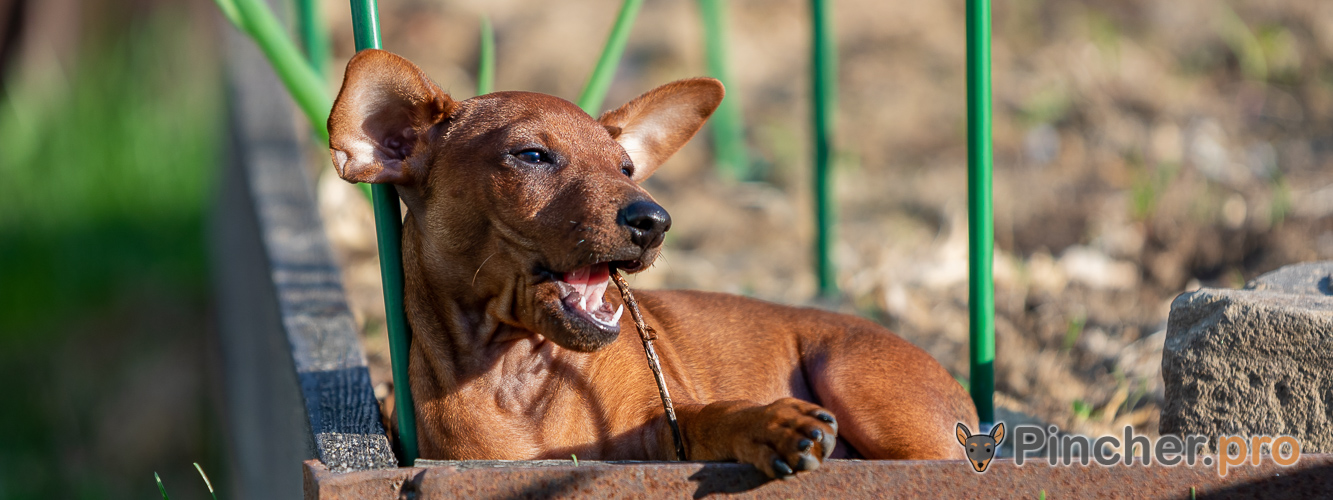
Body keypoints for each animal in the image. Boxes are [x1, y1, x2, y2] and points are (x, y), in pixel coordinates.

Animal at [330, 49, 981, 480]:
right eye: (532, 155)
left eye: (625, 167)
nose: (655, 220)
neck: (511, 376)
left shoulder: (661, 428)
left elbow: (708, 415)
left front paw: (769, 422)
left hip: (859, 381)